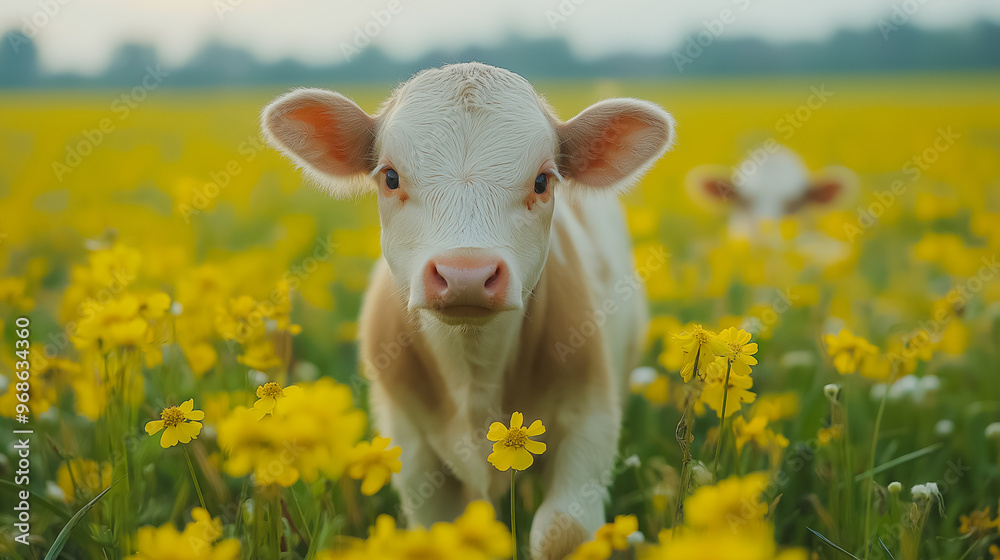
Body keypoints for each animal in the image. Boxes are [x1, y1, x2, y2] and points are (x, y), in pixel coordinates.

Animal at [261, 62, 674, 559]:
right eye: (390, 177)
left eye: (543, 181)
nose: (466, 274)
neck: (473, 370)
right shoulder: (410, 445)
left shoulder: (589, 418)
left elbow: (562, 532)